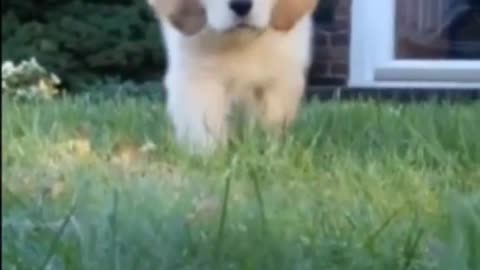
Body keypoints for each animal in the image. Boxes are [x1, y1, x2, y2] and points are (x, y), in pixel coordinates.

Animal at [148, 0, 316, 153]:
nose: (241, 5)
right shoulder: (198, 78)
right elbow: (204, 125)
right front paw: (209, 156)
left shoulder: (280, 80)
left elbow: (271, 121)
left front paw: (267, 149)